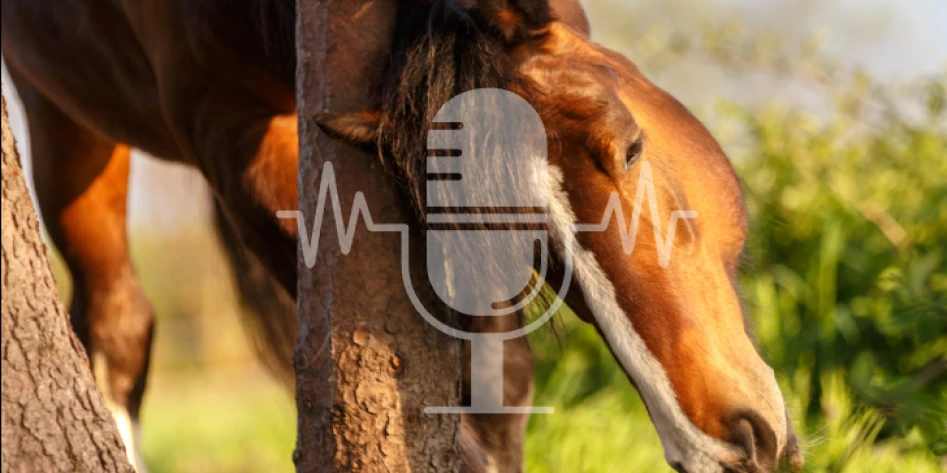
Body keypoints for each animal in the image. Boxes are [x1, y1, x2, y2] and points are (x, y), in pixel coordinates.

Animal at [1, 0, 804, 472]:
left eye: (631, 149)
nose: (722, 441)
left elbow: (500, 386)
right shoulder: (229, 136)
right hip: (61, 113)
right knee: (116, 327)